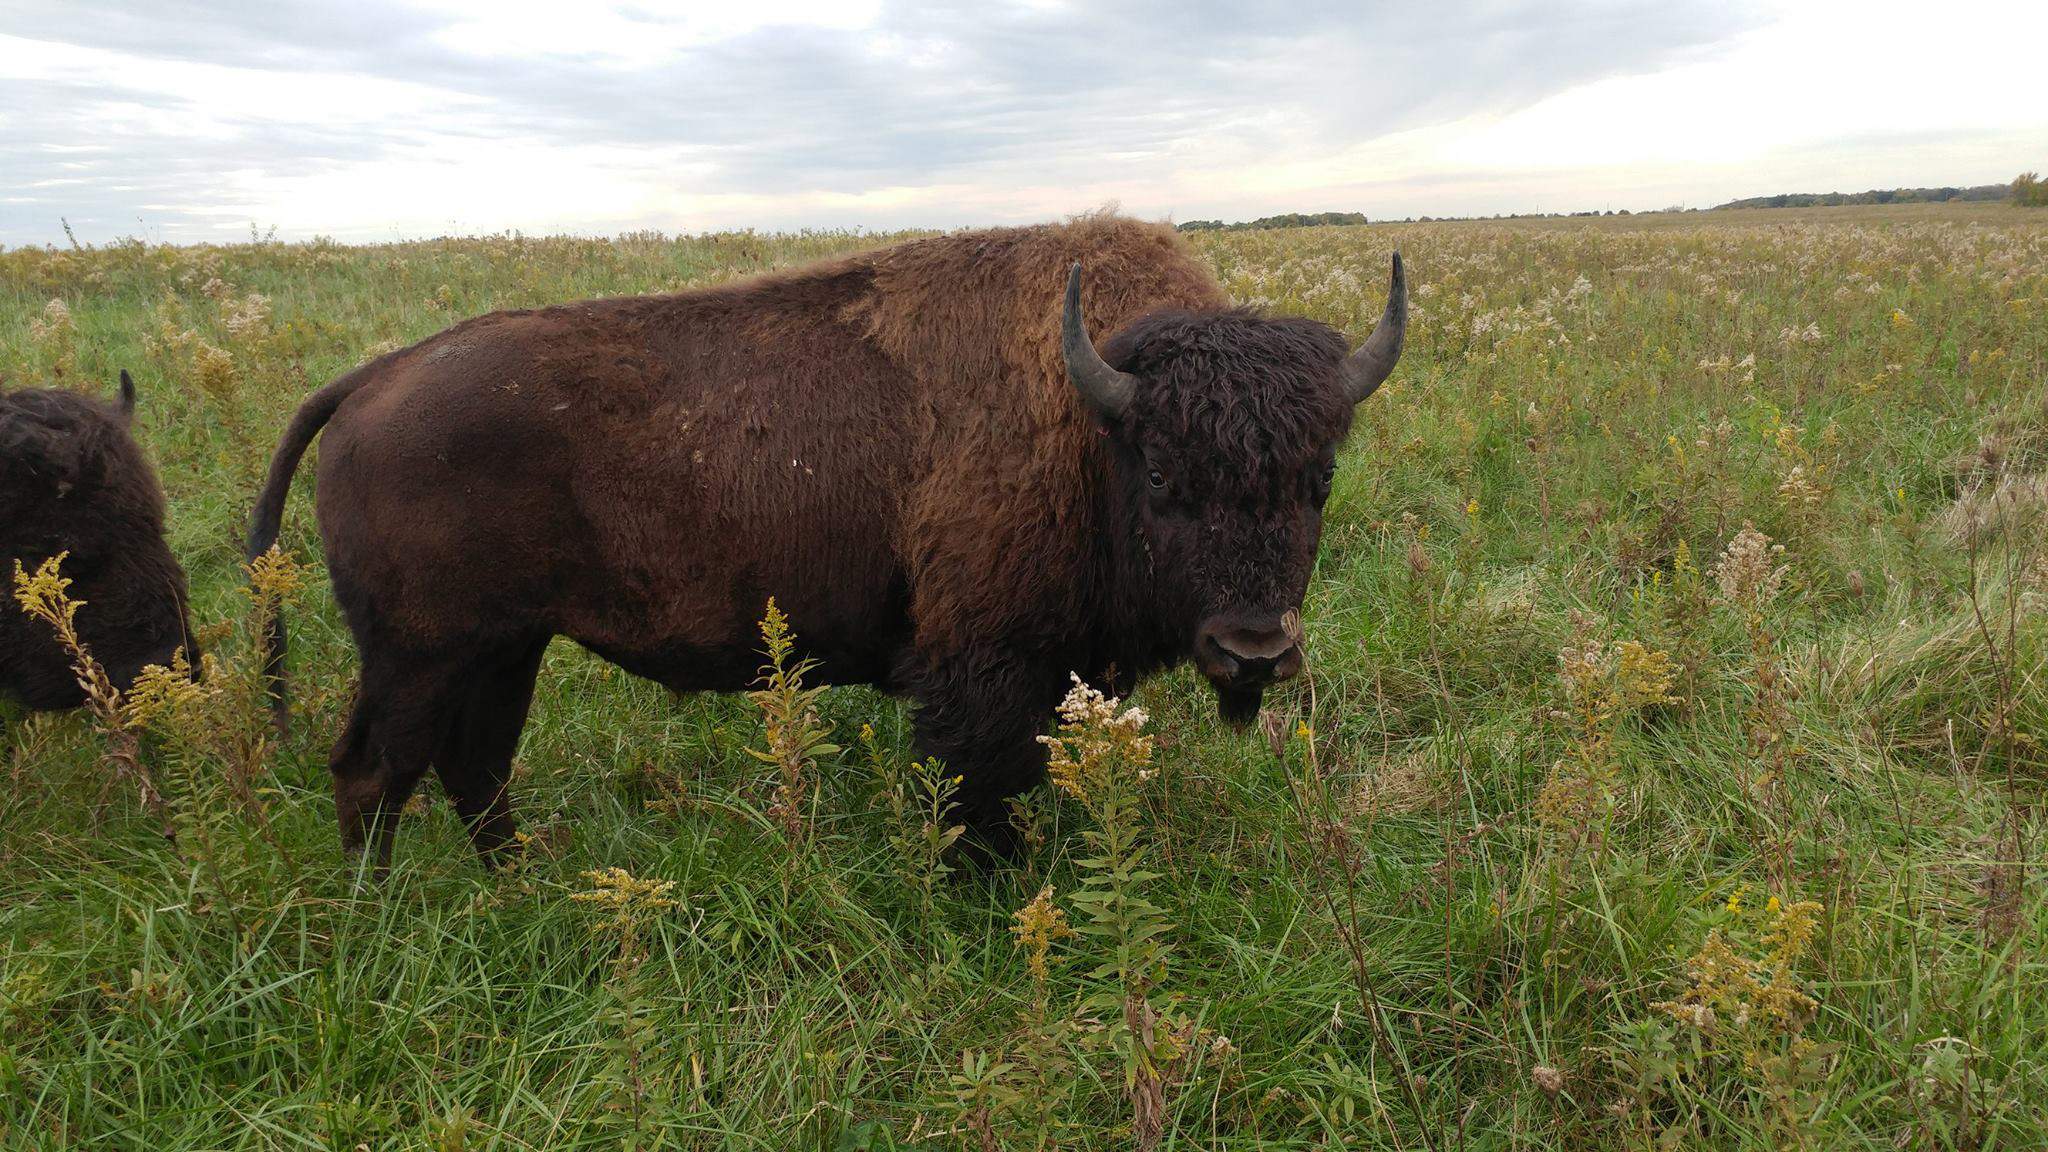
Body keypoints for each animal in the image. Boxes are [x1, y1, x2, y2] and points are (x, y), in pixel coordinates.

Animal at [247, 215, 1409, 865]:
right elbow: (976, 793)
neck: (1093, 417)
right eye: (1164, 477)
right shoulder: (980, 671)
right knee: (372, 771)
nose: (1254, 649)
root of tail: (376, 378)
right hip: (419, 655)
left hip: (504, 648)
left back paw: (517, 887)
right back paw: (383, 916)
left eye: (1318, 477)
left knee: (472, 769)